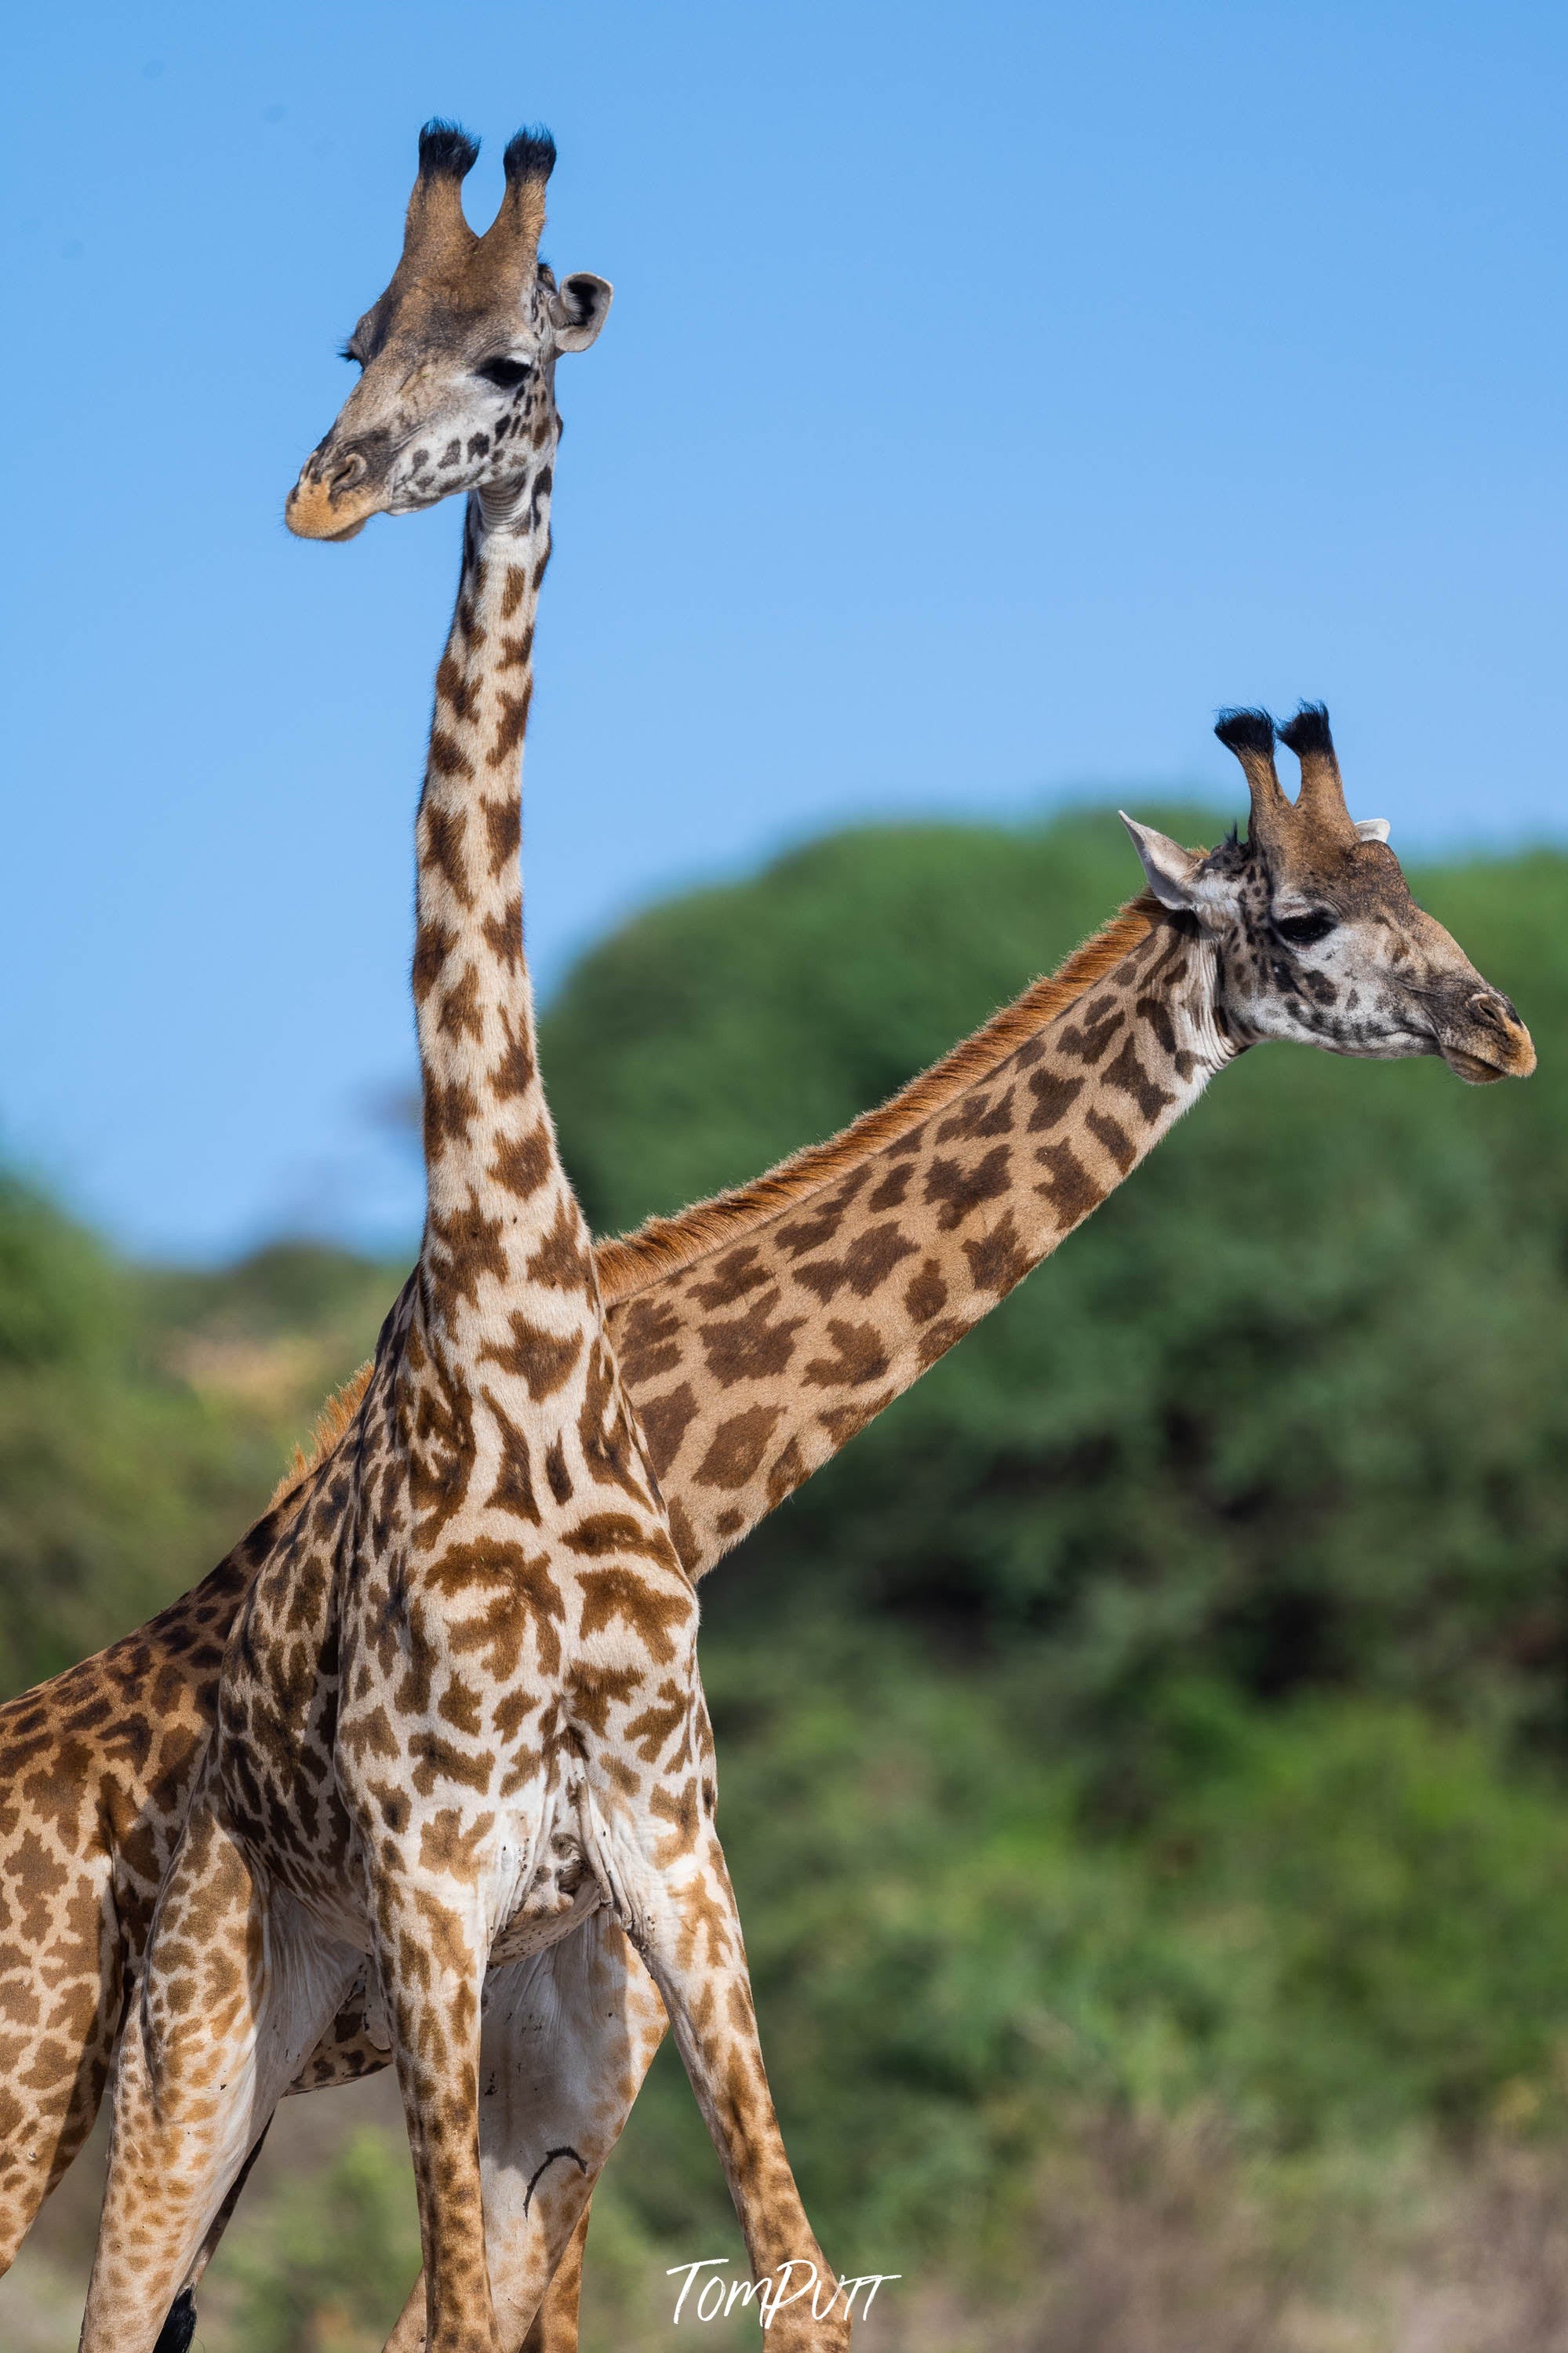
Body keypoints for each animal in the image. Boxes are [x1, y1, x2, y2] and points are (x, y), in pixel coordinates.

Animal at [76, 124, 846, 2353]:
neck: (519, 1324)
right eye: (357, 338)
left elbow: (807, 2279)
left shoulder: (670, 1853)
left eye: (509, 356)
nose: (321, 490)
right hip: (216, 2027)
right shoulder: (433, 1872)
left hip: (530, 2019)